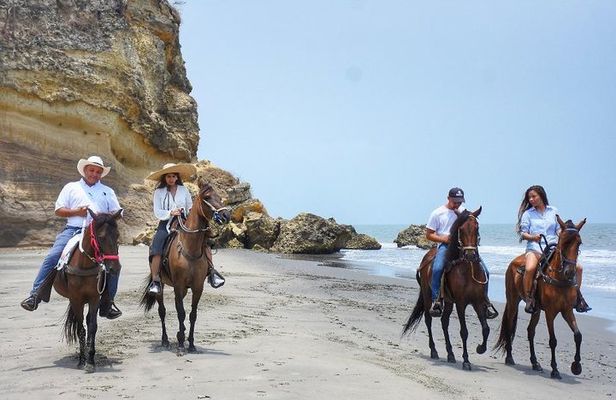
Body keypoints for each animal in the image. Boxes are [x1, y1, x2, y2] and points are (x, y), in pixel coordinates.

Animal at [51, 209, 122, 372]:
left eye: (117, 235)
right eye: (101, 236)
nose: (115, 268)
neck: (84, 265)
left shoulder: (94, 298)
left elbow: (92, 327)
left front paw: (90, 360)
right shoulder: (76, 299)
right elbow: (80, 329)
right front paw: (82, 360)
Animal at [140, 183, 231, 354]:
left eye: (219, 196)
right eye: (207, 197)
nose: (226, 215)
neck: (190, 248)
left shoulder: (197, 287)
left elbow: (192, 314)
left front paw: (191, 344)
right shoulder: (178, 284)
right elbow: (181, 312)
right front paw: (182, 344)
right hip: (161, 285)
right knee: (162, 311)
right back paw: (165, 340)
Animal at [404, 208, 490, 370]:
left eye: (476, 228)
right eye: (461, 229)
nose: (470, 254)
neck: (468, 270)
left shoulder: (478, 301)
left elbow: (486, 328)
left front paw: (480, 348)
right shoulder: (461, 303)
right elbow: (464, 331)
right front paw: (466, 361)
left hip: (449, 301)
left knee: (444, 322)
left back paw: (450, 354)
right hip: (428, 296)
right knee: (428, 320)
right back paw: (434, 351)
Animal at [496, 216, 588, 378]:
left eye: (579, 242)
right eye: (562, 242)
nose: (570, 272)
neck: (559, 279)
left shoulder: (567, 311)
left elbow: (578, 335)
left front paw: (576, 366)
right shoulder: (550, 313)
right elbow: (553, 340)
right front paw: (555, 370)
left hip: (536, 309)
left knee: (530, 331)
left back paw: (535, 363)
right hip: (513, 301)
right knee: (509, 326)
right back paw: (509, 358)